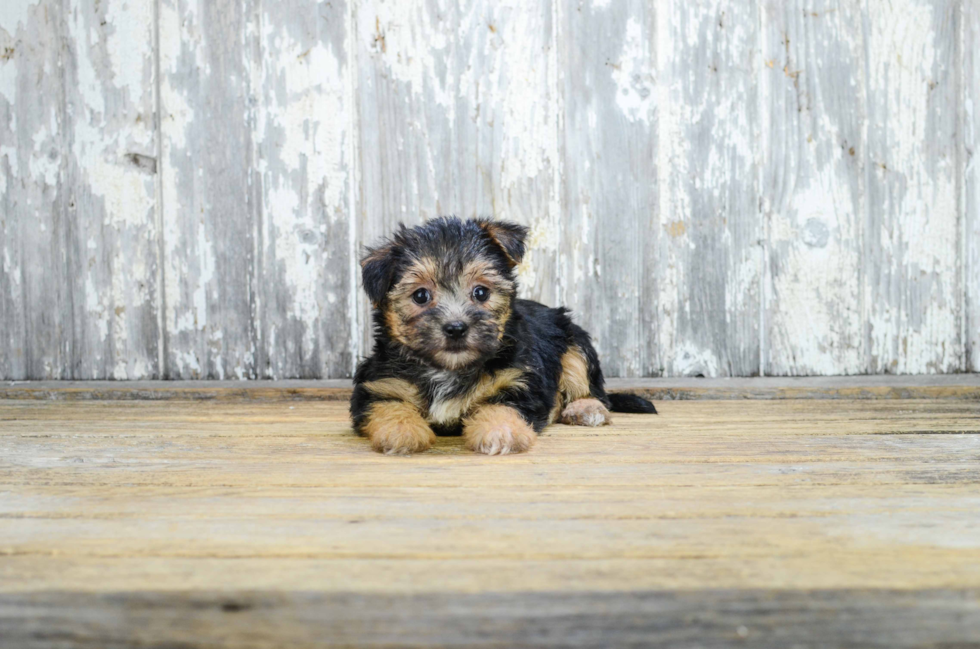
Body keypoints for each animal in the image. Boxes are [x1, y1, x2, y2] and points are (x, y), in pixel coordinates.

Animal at [348, 215, 656, 454]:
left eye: (481, 292)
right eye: (421, 295)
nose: (456, 327)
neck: (449, 369)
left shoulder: (519, 381)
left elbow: (503, 406)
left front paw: (500, 432)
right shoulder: (380, 383)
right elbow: (388, 405)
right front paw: (401, 431)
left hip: (573, 340)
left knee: (588, 383)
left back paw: (586, 409)